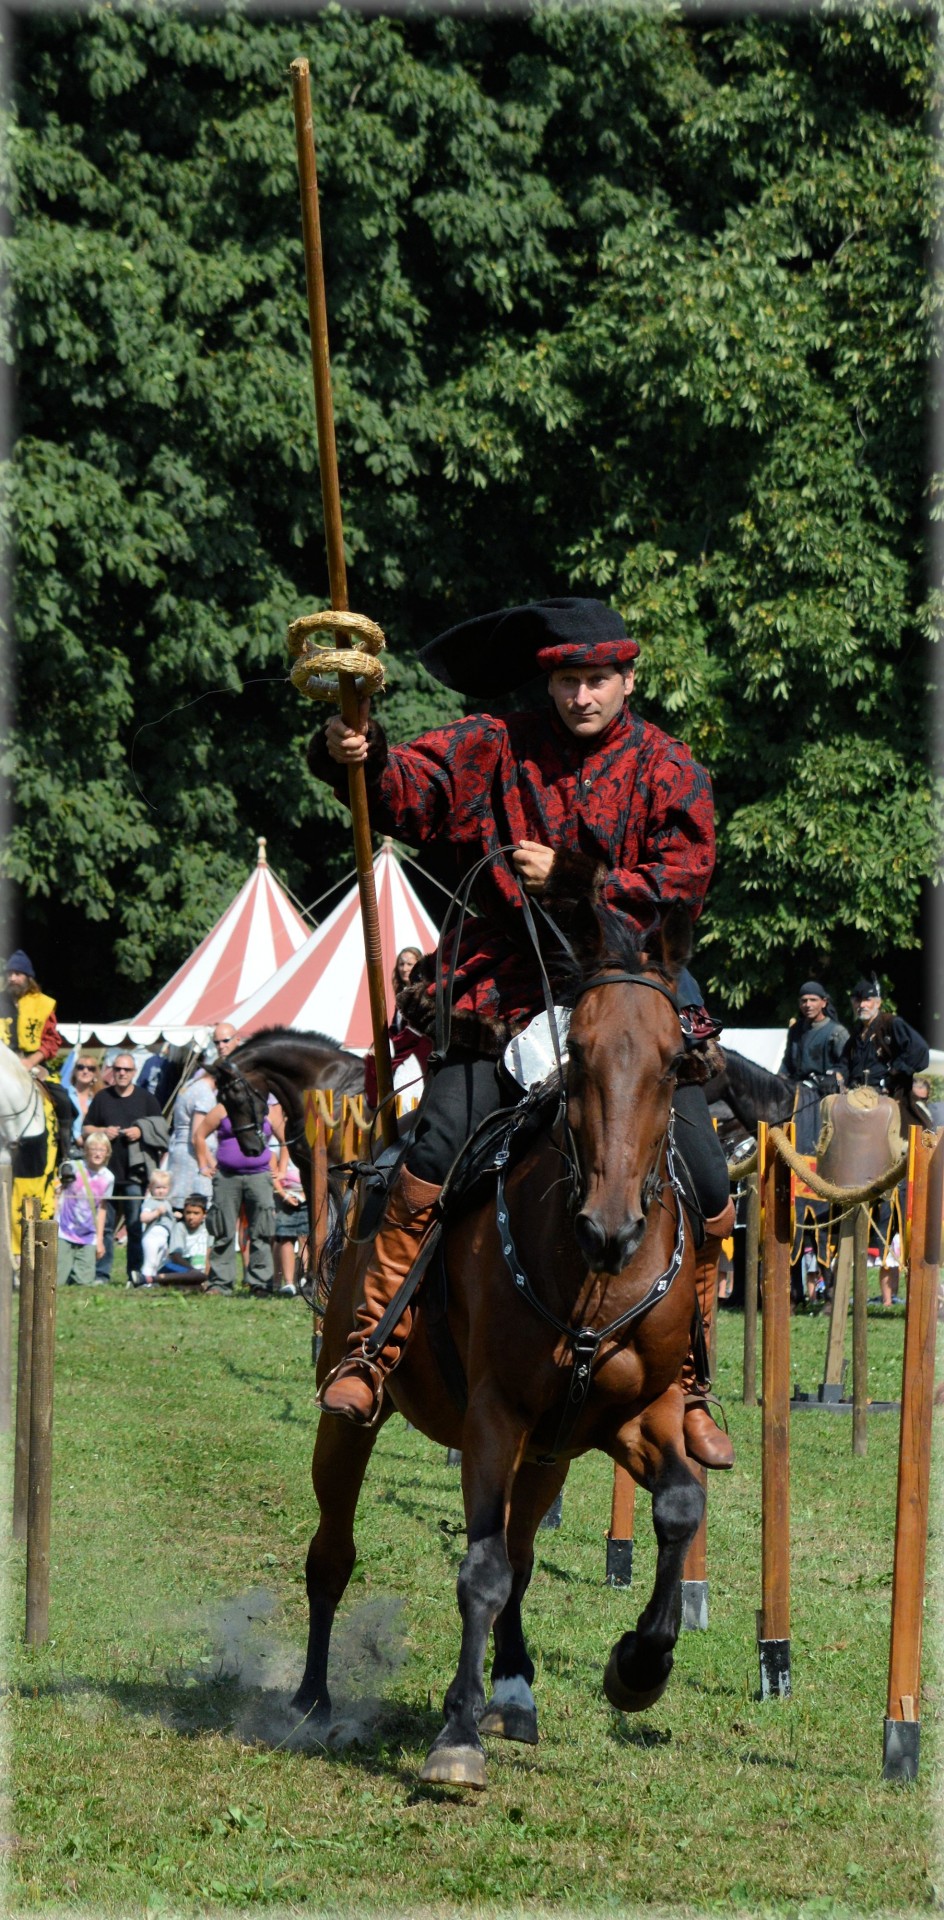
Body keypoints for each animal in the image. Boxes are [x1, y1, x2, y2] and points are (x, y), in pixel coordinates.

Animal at [295, 906, 706, 1789]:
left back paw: (514, 1691)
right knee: (333, 1550)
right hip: (353, 1420)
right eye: (578, 1055)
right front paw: (455, 1736)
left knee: (521, 1550)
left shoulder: (632, 1416)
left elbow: (680, 1507)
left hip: (548, 1454)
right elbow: (479, 1570)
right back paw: (311, 1695)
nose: (610, 1228)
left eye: (671, 1064)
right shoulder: (493, 1418)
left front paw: (639, 1666)